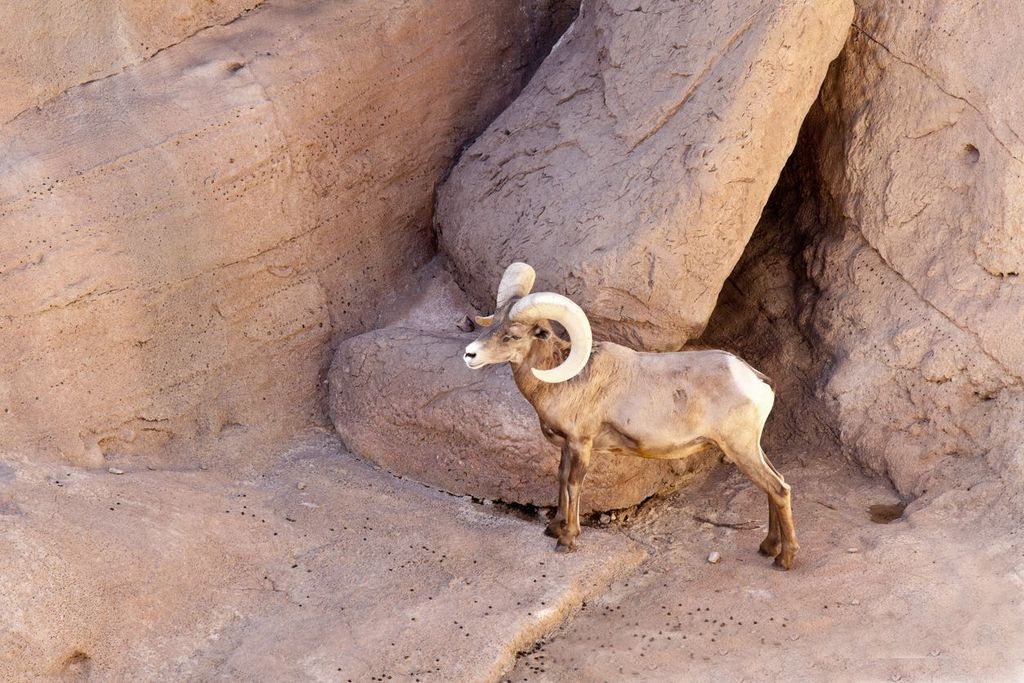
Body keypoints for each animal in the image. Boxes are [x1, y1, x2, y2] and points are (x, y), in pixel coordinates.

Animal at [463, 262, 799, 569]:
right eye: (492, 323)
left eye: (513, 335)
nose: (470, 354)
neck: (565, 382)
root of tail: (756, 380)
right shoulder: (566, 447)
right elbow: (560, 478)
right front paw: (554, 528)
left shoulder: (581, 444)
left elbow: (574, 484)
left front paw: (567, 540)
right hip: (750, 448)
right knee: (777, 484)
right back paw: (768, 547)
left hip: (740, 449)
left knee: (778, 489)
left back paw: (784, 559)